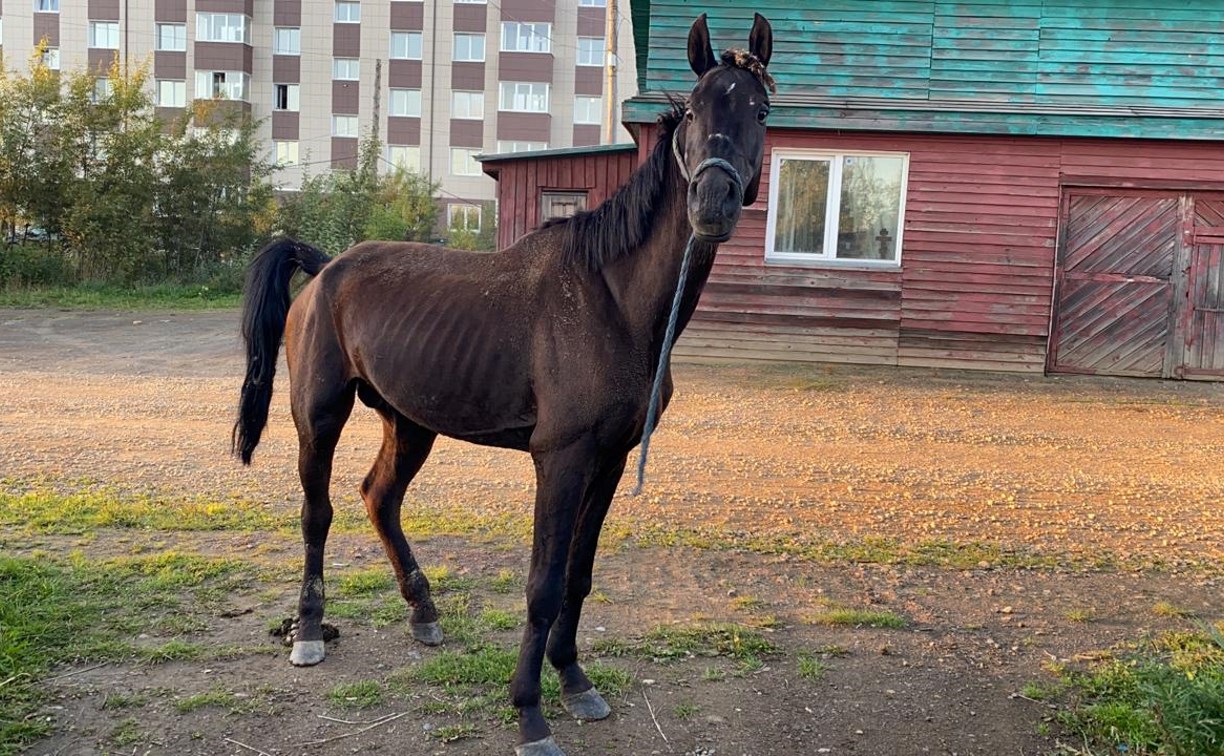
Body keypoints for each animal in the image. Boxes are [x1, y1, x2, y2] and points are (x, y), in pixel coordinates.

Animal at [231, 13, 773, 753]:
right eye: (692, 109)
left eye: (760, 110)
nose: (711, 202)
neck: (612, 300)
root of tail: (323, 269)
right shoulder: (561, 459)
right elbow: (543, 585)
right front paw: (530, 711)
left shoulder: (608, 460)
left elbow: (578, 575)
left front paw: (574, 680)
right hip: (319, 417)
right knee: (319, 514)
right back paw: (310, 631)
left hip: (410, 423)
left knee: (379, 499)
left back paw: (424, 611)